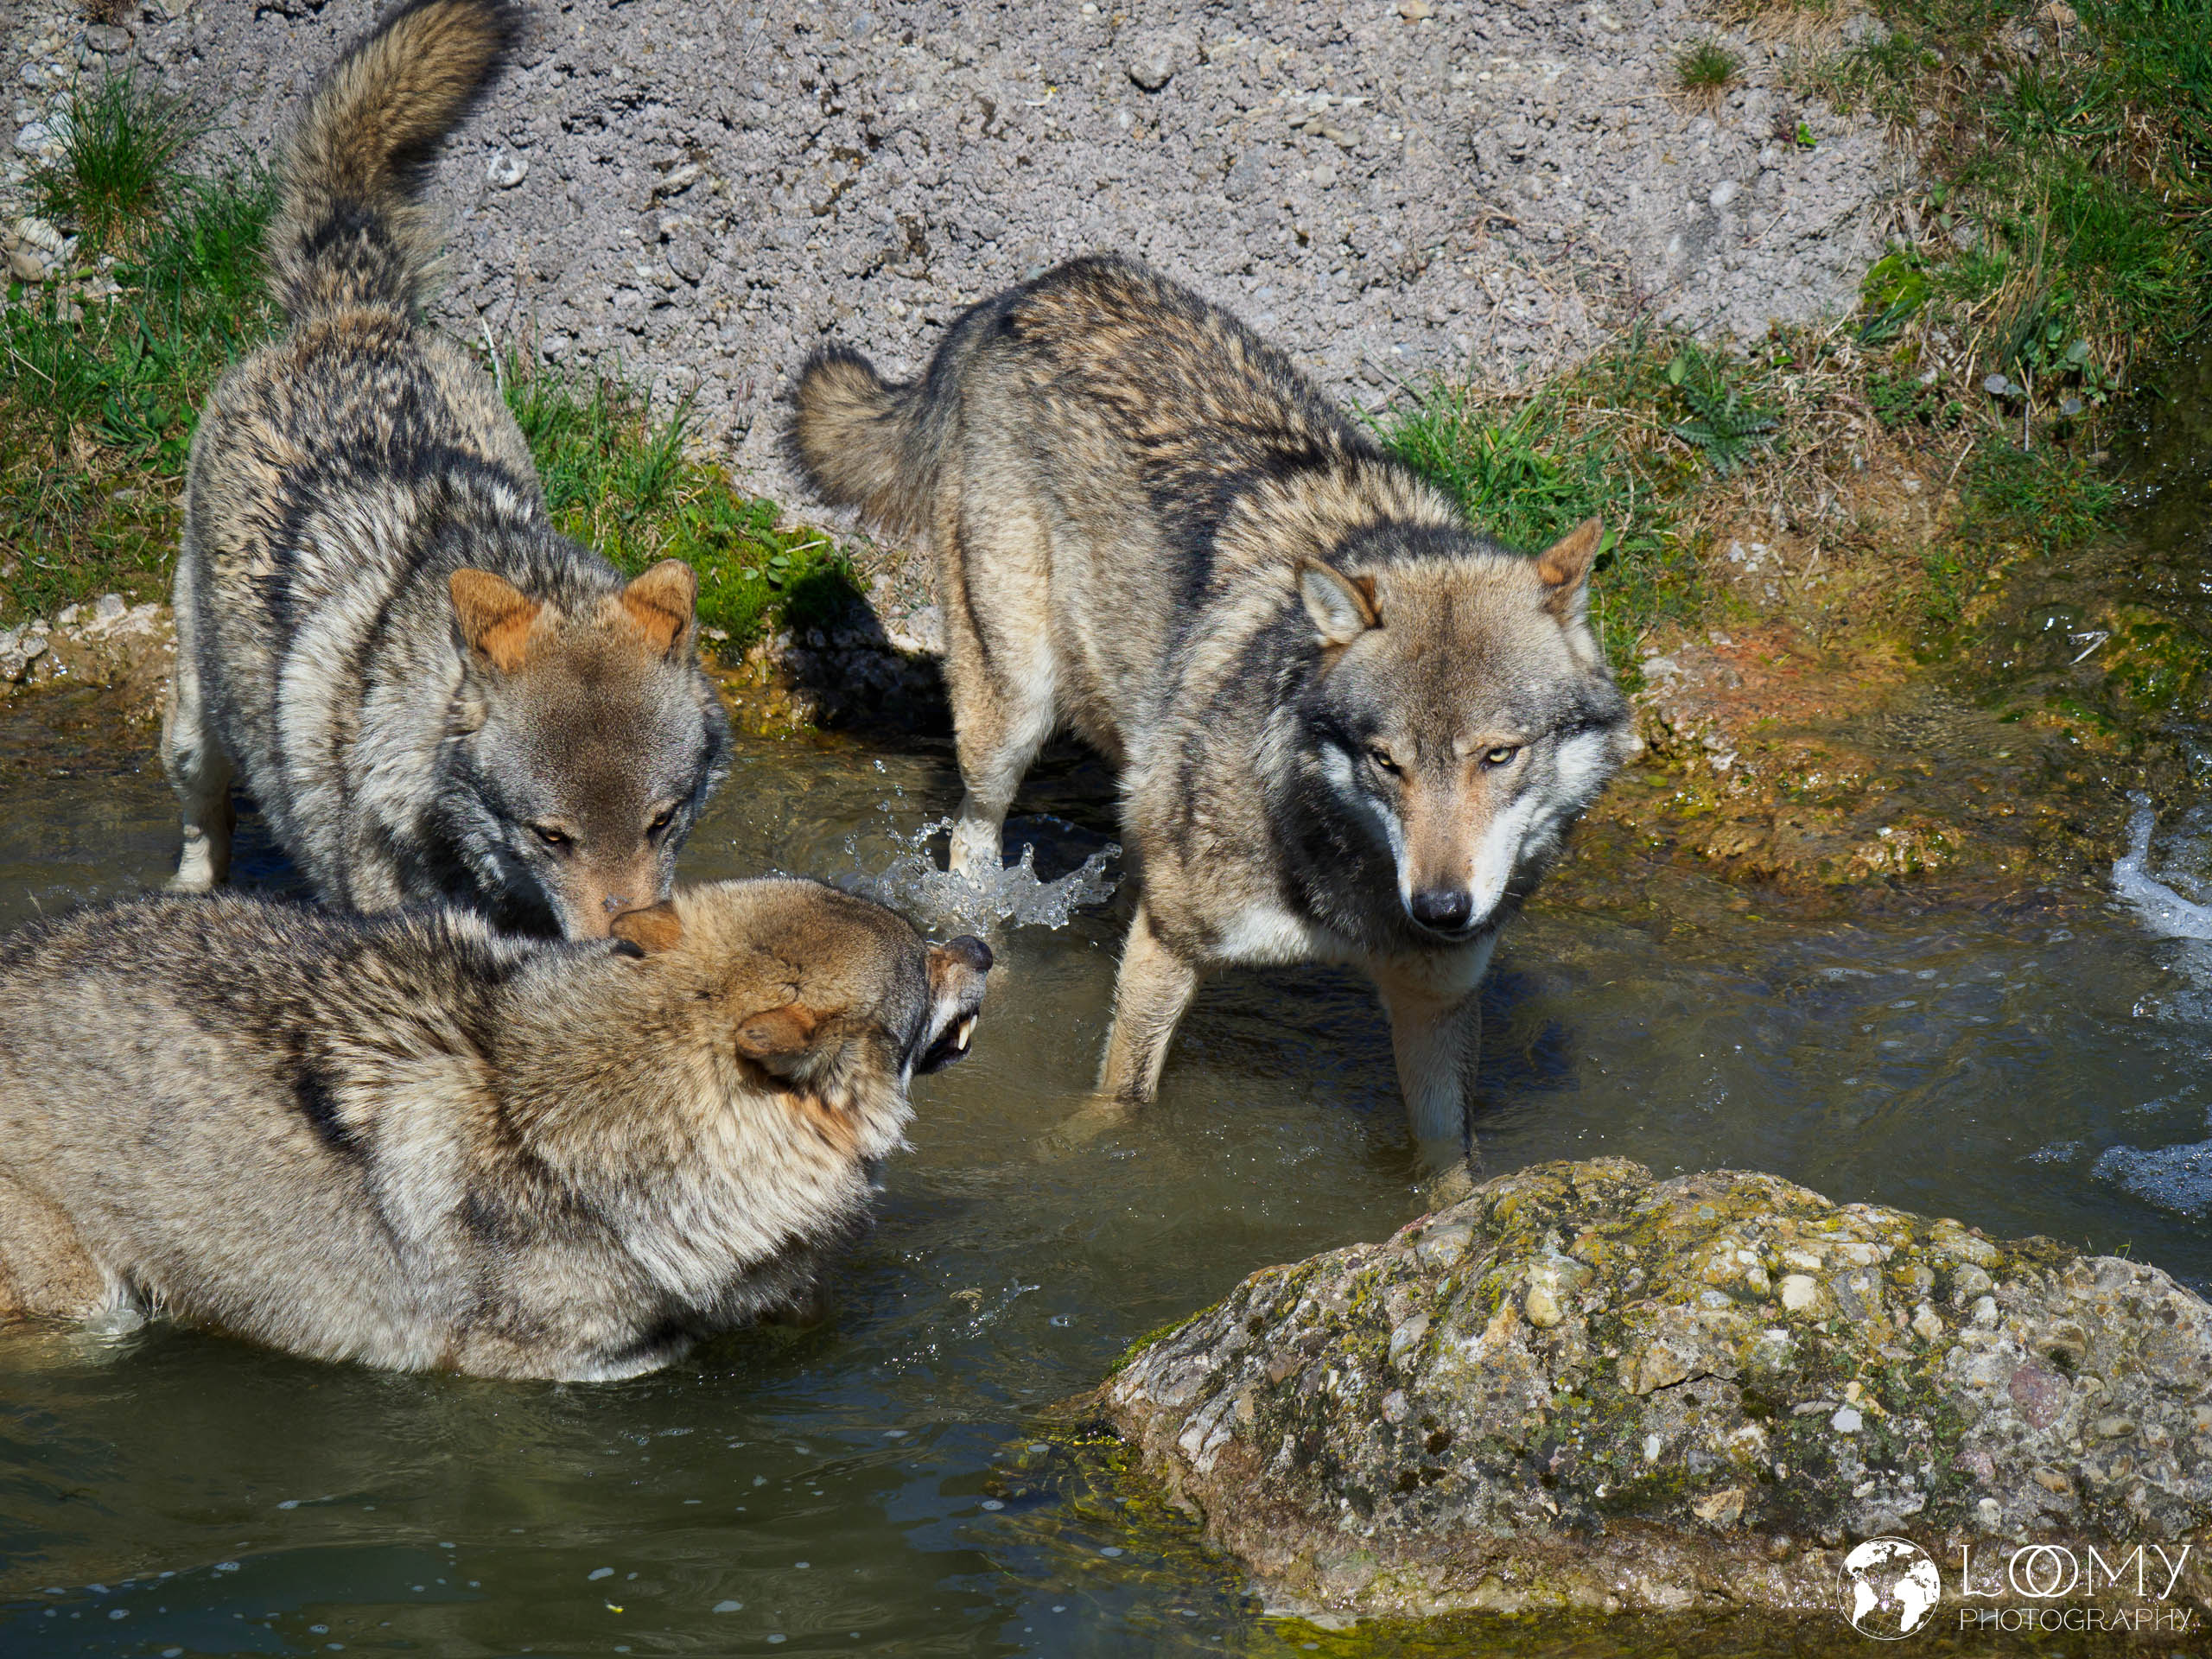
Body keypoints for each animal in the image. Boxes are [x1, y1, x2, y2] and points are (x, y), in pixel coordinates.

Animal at [164, 0, 730, 939]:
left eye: (662, 821)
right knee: (205, 816)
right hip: (194, 737)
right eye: (552, 836)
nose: (623, 946)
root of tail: (352, 310)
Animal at [790, 255, 1634, 1168]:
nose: (1441, 910)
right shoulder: (1170, 937)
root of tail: (1021, 293)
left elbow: (1449, 1160)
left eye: (1498, 755)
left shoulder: (1435, 999)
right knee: (973, 843)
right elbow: (1121, 1100)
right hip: (1011, 710)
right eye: (1386, 761)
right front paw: (1070, 1156)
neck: (1348, 878)